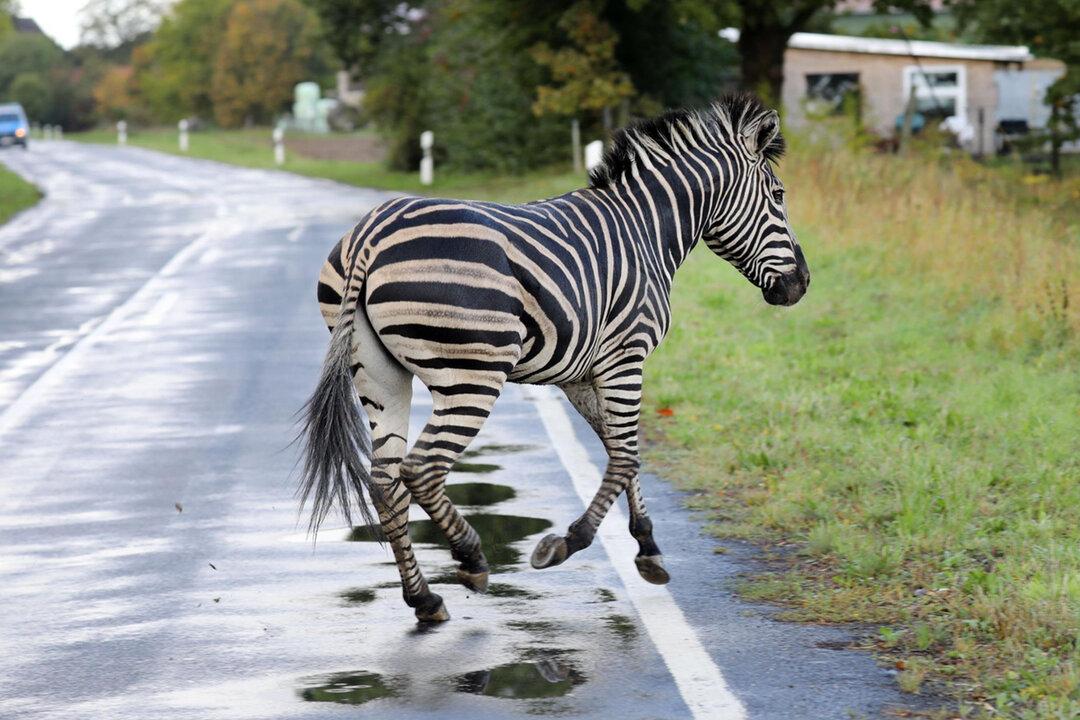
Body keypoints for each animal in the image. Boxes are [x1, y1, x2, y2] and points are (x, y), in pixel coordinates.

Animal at [299, 93, 809, 622]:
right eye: (779, 195)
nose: (801, 285)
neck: (645, 230)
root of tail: (372, 233)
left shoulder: (581, 374)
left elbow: (620, 449)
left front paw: (648, 548)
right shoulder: (626, 356)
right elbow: (625, 455)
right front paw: (568, 542)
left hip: (379, 374)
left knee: (384, 480)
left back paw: (424, 598)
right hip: (471, 375)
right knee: (420, 469)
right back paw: (471, 558)